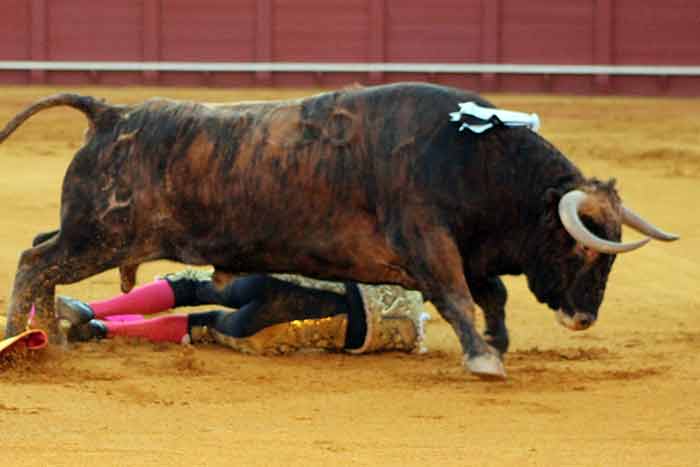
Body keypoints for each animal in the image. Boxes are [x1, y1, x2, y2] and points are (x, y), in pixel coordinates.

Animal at [0, 81, 680, 380]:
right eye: (580, 250)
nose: (583, 318)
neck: (476, 158)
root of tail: (111, 113)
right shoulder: (428, 241)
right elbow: (461, 296)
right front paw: (485, 359)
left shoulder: (467, 253)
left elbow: (492, 295)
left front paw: (497, 343)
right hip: (102, 236)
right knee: (36, 263)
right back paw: (33, 341)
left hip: (93, 233)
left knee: (39, 252)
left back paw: (48, 334)